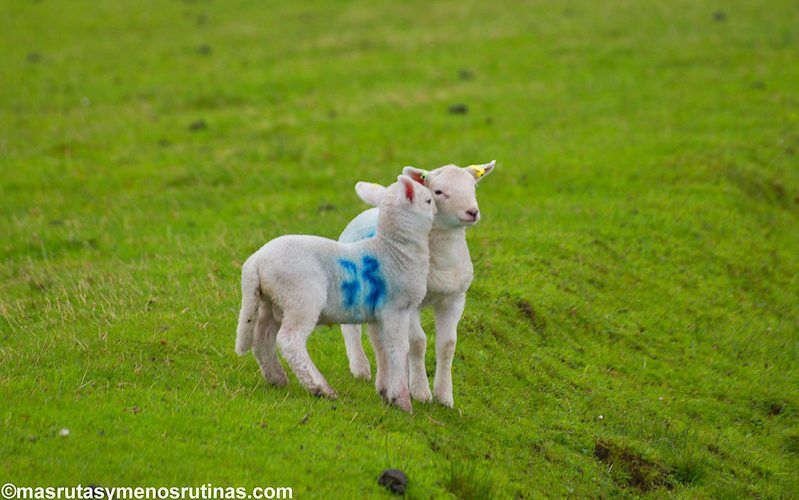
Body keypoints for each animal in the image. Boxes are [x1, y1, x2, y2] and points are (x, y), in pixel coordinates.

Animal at [235, 175, 436, 412]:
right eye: (429, 200)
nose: (438, 209)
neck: (394, 250)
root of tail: (256, 261)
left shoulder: (378, 314)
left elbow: (381, 347)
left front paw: (385, 391)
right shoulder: (396, 309)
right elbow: (398, 347)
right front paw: (402, 401)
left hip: (271, 302)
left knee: (262, 338)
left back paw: (277, 378)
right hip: (301, 298)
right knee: (289, 340)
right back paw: (320, 388)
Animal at [339, 161, 495, 407]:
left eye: (473, 187)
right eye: (438, 192)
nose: (472, 212)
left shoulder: (455, 299)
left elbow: (447, 344)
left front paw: (444, 396)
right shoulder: (408, 302)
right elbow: (418, 342)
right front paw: (421, 391)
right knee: (351, 328)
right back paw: (360, 367)